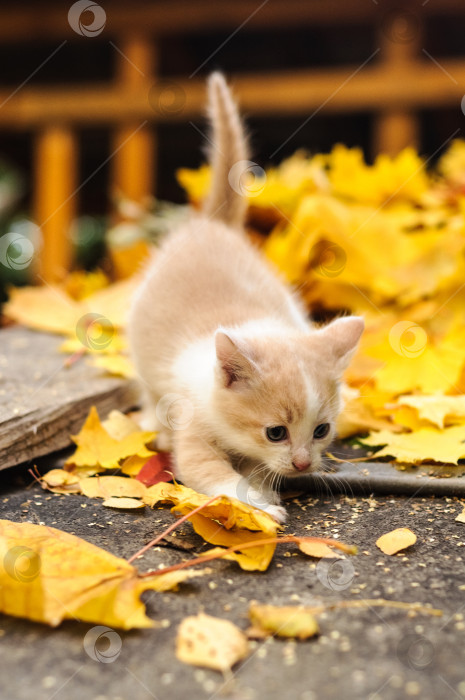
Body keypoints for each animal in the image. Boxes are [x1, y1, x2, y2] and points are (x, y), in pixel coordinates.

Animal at [128, 74, 362, 524]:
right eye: (276, 432)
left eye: (321, 430)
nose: (304, 464)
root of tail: (211, 224)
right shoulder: (191, 425)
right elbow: (209, 470)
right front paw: (258, 505)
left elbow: (256, 468)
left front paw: (262, 486)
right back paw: (153, 422)